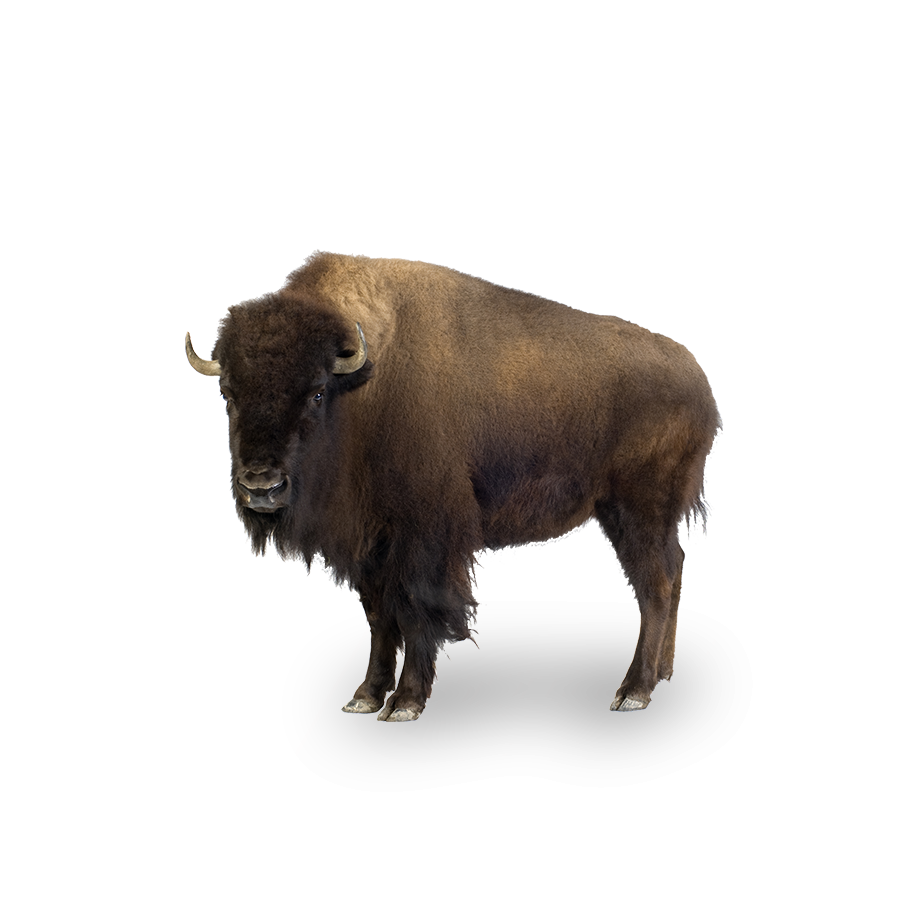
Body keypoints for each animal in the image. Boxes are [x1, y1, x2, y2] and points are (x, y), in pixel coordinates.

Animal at [186, 253, 721, 722]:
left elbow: (415, 610)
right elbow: (379, 617)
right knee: (672, 572)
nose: (261, 486)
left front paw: (405, 703)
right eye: (228, 394)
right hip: (625, 512)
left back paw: (633, 691)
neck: (362, 389)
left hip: (638, 509)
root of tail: (697, 379)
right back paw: (662, 676)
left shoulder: (423, 537)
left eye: (316, 392)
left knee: (654, 584)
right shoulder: (370, 549)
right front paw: (365, 696)